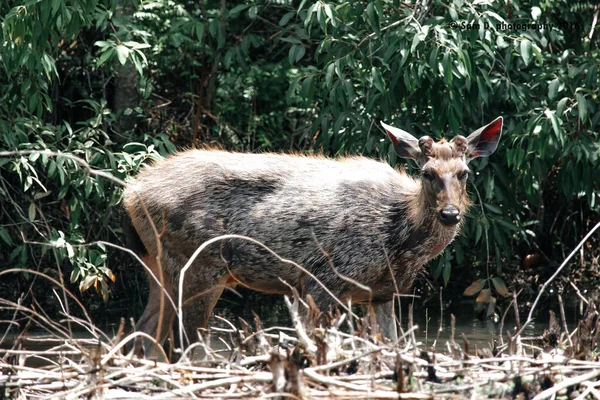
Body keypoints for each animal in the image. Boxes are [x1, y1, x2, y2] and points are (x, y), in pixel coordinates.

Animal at [124, 116, 504, 356]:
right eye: (427, 173)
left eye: (464, 172)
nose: (450, 214)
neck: (399, 239)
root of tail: (131, 192)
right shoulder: (324, 280)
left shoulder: (382, 293)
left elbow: (389, 346)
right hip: (198, 264)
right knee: (181, 345)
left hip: (158, 266)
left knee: (140, 336)